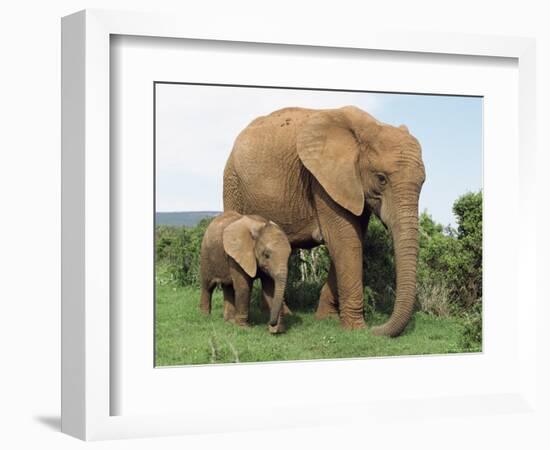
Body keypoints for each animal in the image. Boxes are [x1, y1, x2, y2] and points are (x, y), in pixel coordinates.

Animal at [223, 106, 426, 338]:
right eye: (381, 179)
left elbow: (352, 240)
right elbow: (345, 241)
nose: (376, 329)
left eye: (423, 182)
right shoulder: (323, 181)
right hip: (232, 183)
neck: (368, 127)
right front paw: (356, 329)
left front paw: (326, 318)